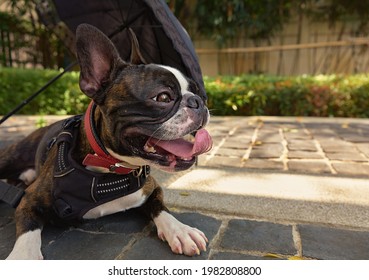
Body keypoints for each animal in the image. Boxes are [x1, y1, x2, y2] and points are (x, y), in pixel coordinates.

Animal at [0, 24, 211, 260]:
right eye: (163, 97)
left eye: (196, 91)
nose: (198, 101)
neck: (111, 168)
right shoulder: (29, 199)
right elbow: (28, 230)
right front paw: (23, 256)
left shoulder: (152, 189)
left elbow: (161, 207)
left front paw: (180, 230)